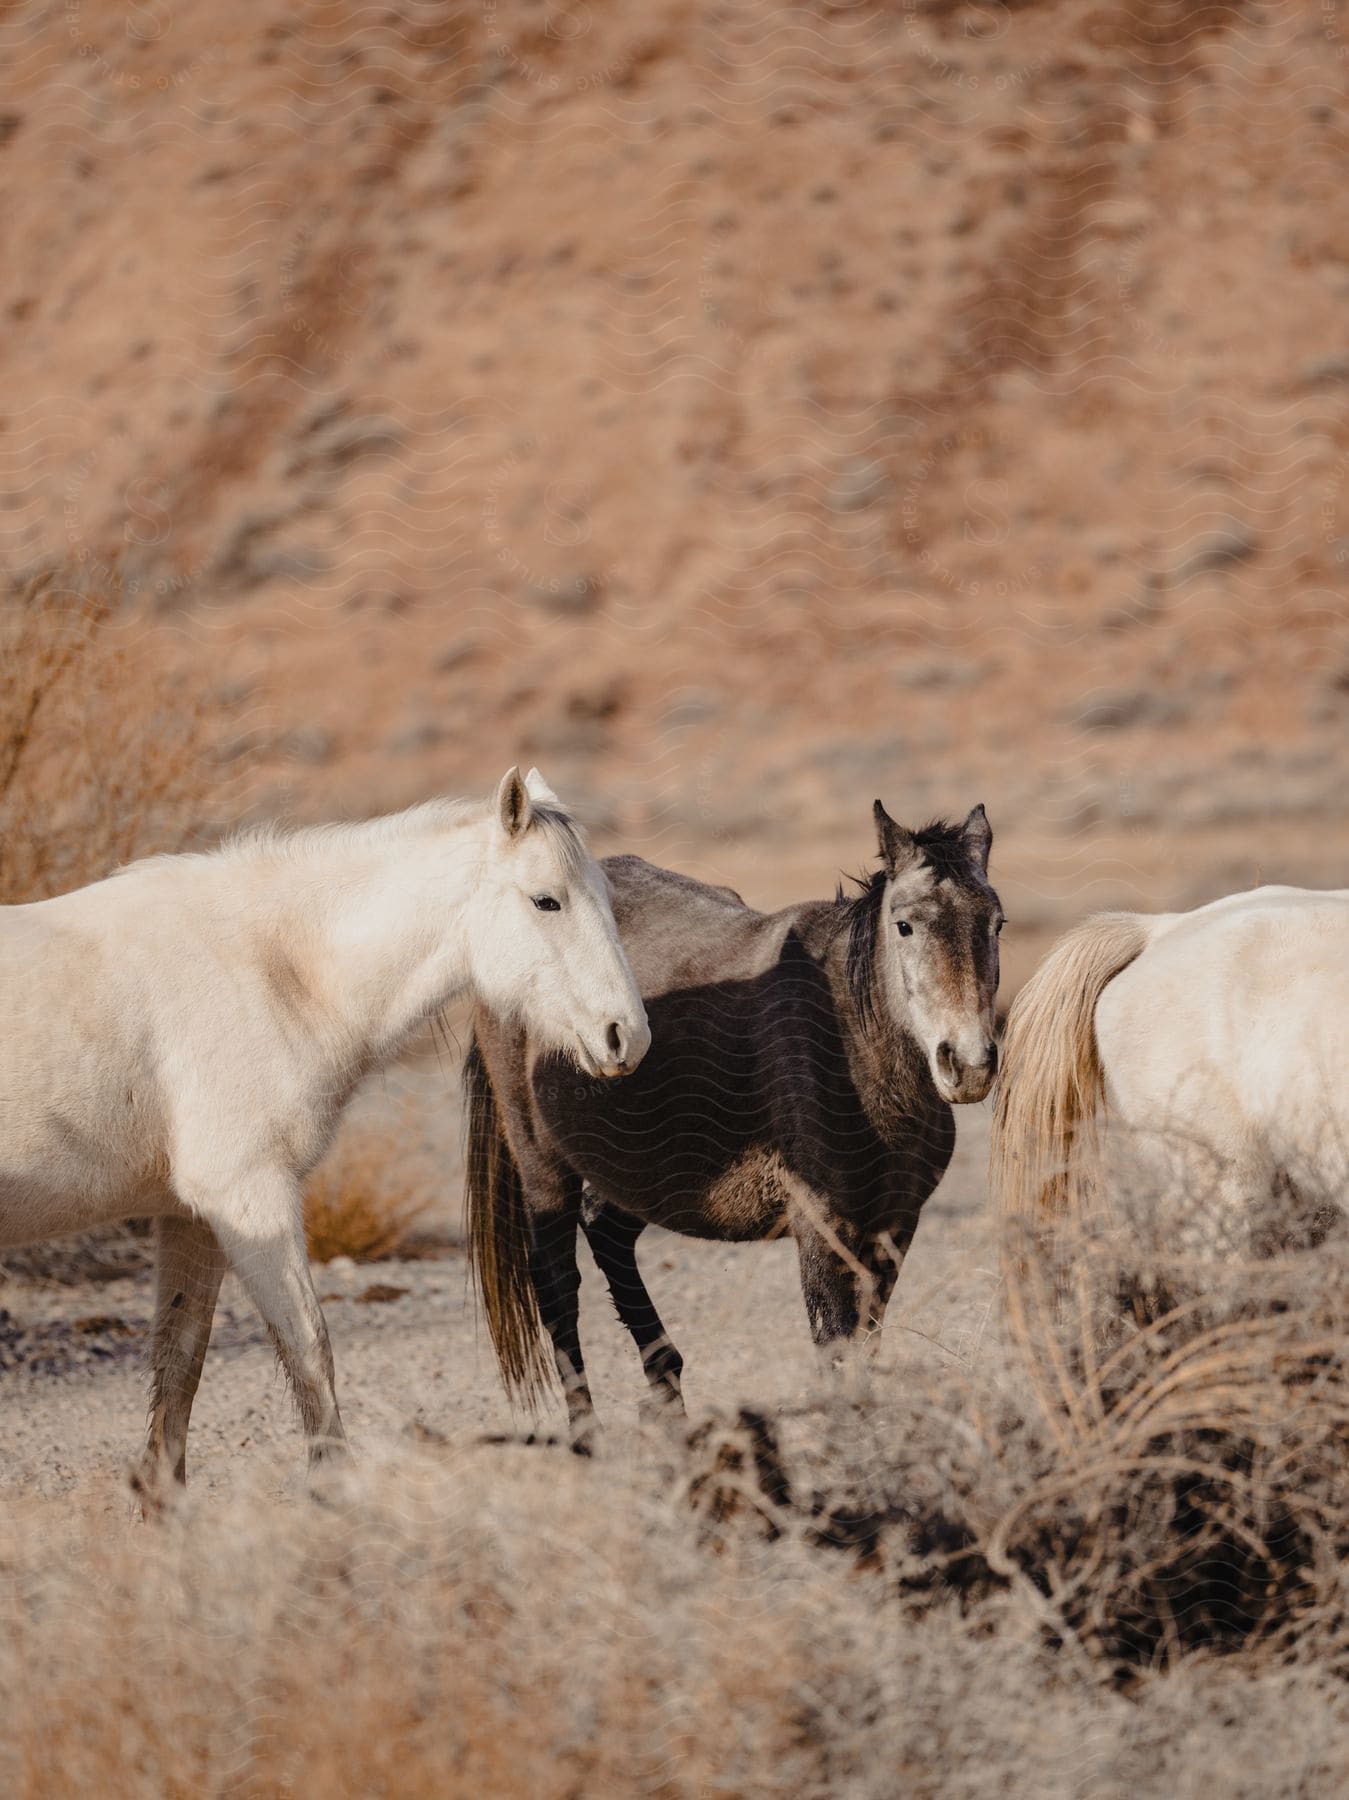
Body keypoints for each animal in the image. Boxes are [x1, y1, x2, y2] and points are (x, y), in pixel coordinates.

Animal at [0, 766, 651, 1497]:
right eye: (546, 901)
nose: (625, 1037)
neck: (271, 968)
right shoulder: (249, 1197)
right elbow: (310, 1350)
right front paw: (331, 1490)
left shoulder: (190, 1218)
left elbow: (180, 1364)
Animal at [464, 802, 1001, 1432]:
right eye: (905, 926)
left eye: (996, 924)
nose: (968, 1064)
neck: (850, 1041)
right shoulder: (821, 1224)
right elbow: (836, 1348)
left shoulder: (895, 1225)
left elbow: (866, 1347)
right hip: (542, 1162)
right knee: (557, 1290)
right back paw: (587, 1434)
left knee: (607, 1232)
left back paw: (669, 1395)